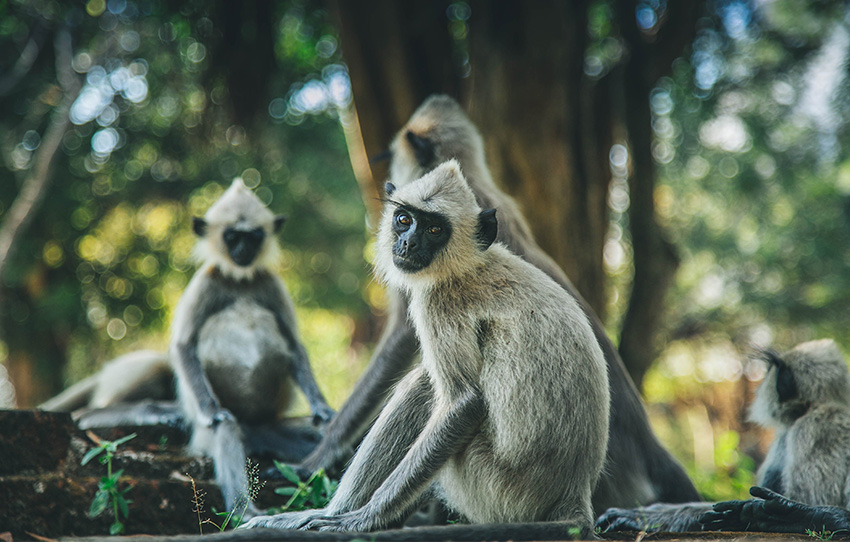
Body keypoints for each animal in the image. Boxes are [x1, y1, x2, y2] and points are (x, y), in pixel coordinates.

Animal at [242, 159, 608, 536]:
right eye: (404, 219)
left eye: (434, 229)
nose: (408, 242)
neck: (470, 264)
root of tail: (575, 493)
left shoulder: (439, 302)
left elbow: (464, 403)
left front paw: (363, 519)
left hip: (497, 491)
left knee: (423, 386)